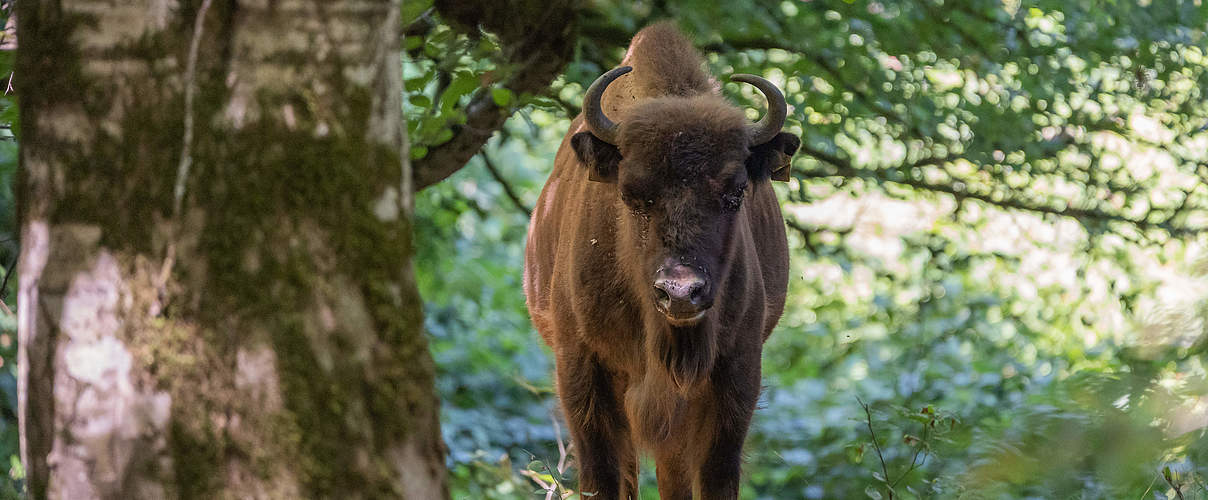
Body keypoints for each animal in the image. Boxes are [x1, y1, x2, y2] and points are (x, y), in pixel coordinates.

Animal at [521, 23, 797, 500]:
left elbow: (715, 473)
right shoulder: (582, 368)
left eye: (736, 191)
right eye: (631, 194)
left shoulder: (735, 372)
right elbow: (602, 475)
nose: (681, 292)